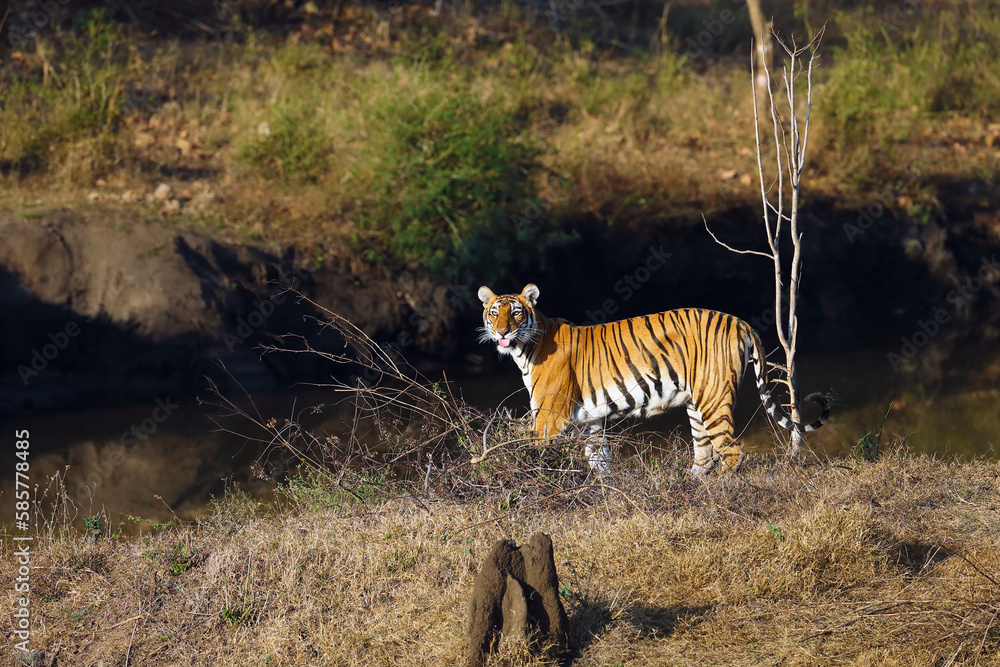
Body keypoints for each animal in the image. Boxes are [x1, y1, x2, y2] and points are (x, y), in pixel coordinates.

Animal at [476, 282, 828, 474]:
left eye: (516, 312)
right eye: (494, 312)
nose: (502, 331)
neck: (525, 349)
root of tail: (740, 321)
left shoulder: (549, 418)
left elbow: (538, 457)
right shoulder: (592, 422)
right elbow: (600, 463)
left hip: (714, 399)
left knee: (730, 451)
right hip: (697, 405)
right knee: (704, 454)